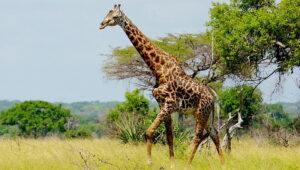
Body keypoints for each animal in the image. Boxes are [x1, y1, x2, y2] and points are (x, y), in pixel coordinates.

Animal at [99, 4, 224, 167]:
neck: (158, 68)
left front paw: (149, 162)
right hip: (205, 114)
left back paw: (187, 164)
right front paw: (172, 165)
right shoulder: (163, 105)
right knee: (214, 134)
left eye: (115, 16)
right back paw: (224, 164)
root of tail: (212, 97)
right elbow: (169, 136)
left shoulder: (169, 104)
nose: (102, 24)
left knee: (198, 137)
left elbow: (149, 132)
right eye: (107, 13)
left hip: (201, 112)